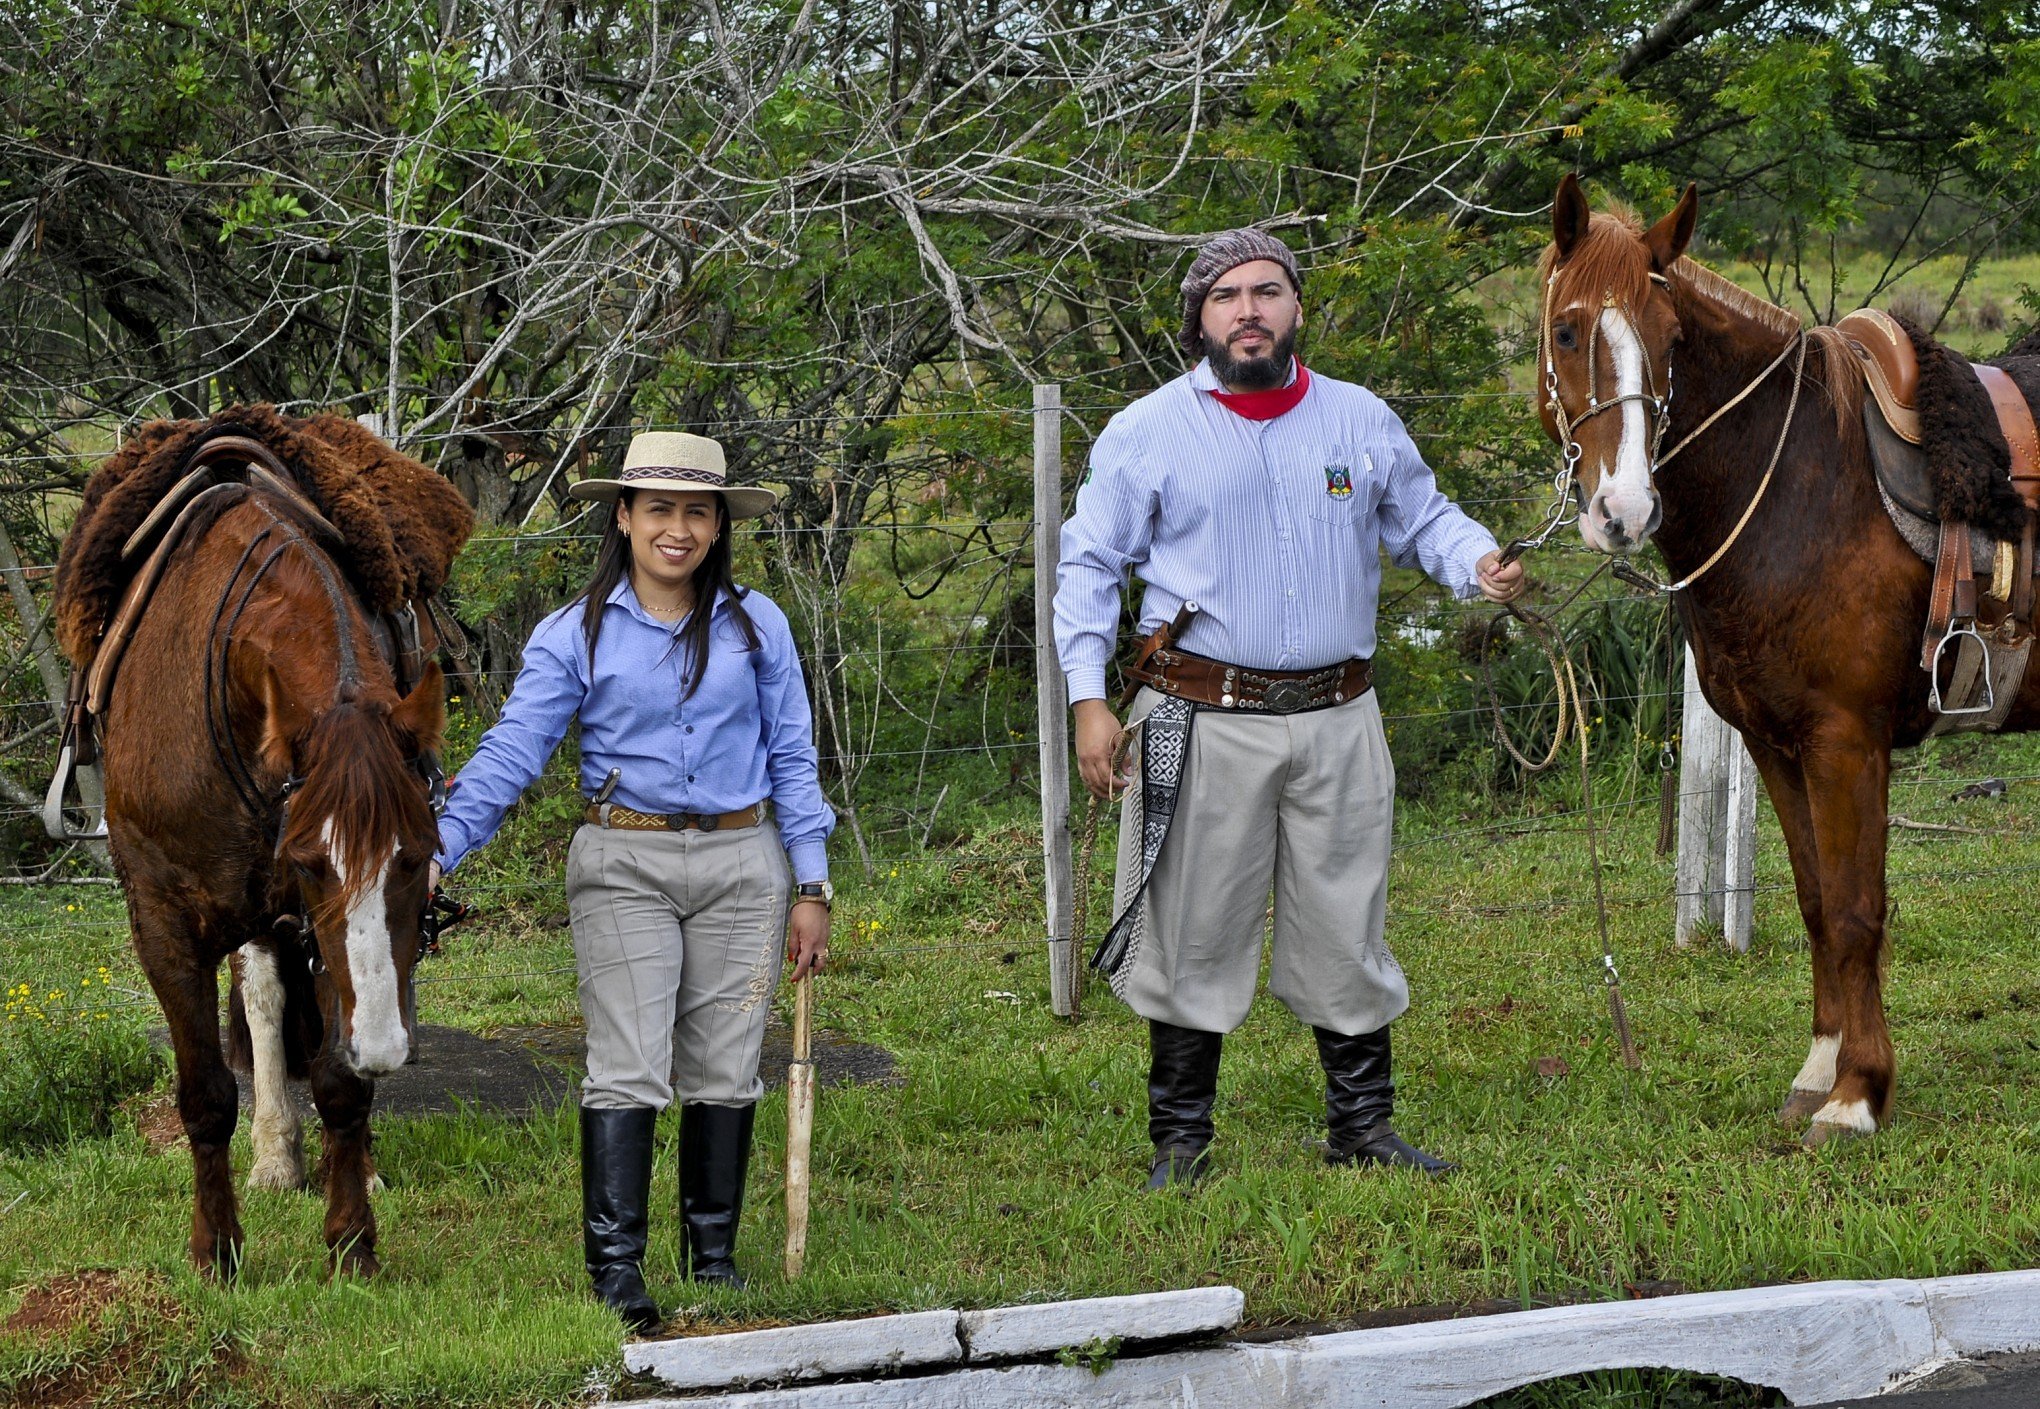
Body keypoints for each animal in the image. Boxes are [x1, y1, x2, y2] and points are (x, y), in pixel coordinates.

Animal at [57, 409, 471, 1280]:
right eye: (313, 859)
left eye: (417, 853)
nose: (388, 1047)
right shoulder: (166, 925)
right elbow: (207, 1091)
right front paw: (216, 1246)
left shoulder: (318, 927)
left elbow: (342, 1080)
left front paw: (351, 1237)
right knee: (261, 996)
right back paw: (276, 1151)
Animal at [1542, 176, 2040, 1150]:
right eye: (1567, 330)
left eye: (1672, 340)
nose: (1625, 510)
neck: (1804, 484)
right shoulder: (1775, 743)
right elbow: (1814, 901)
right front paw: (1820, 1069)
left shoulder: (1846, 741)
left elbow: (1854, 910)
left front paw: (1858, 1094)